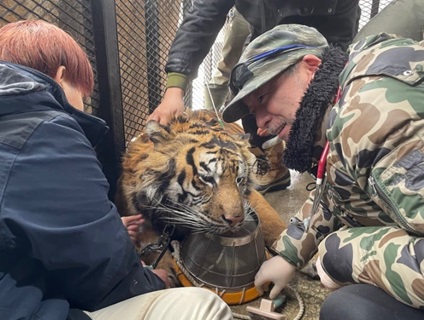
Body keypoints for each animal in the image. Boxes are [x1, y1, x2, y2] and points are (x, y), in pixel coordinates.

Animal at [115, 109, 288, 284]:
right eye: (207, 179)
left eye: (239, 180)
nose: (235, 220)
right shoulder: (136, 215)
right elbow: (147, 244)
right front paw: (166, 272)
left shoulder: (251, 198)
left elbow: (272, 222)